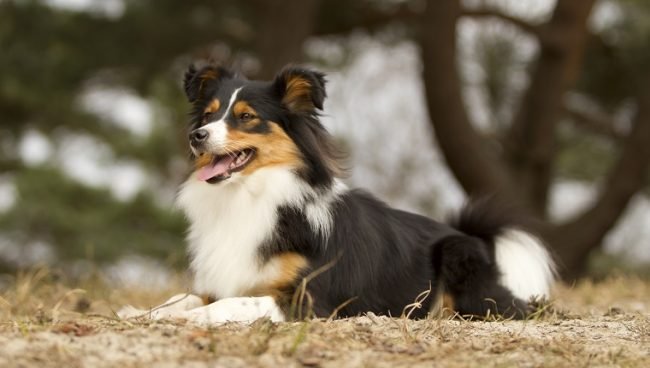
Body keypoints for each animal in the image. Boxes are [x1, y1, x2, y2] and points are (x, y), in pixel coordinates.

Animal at [116, 64, 552, 324]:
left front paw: (184, 320)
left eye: (246, 117)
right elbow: (184, 296)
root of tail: (470, 236)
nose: (197, 136)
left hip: (457, 262)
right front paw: (141, 311)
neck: (252, 194)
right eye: (208, 115)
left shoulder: (308, 298)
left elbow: (230, 304)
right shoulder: (225, 278)